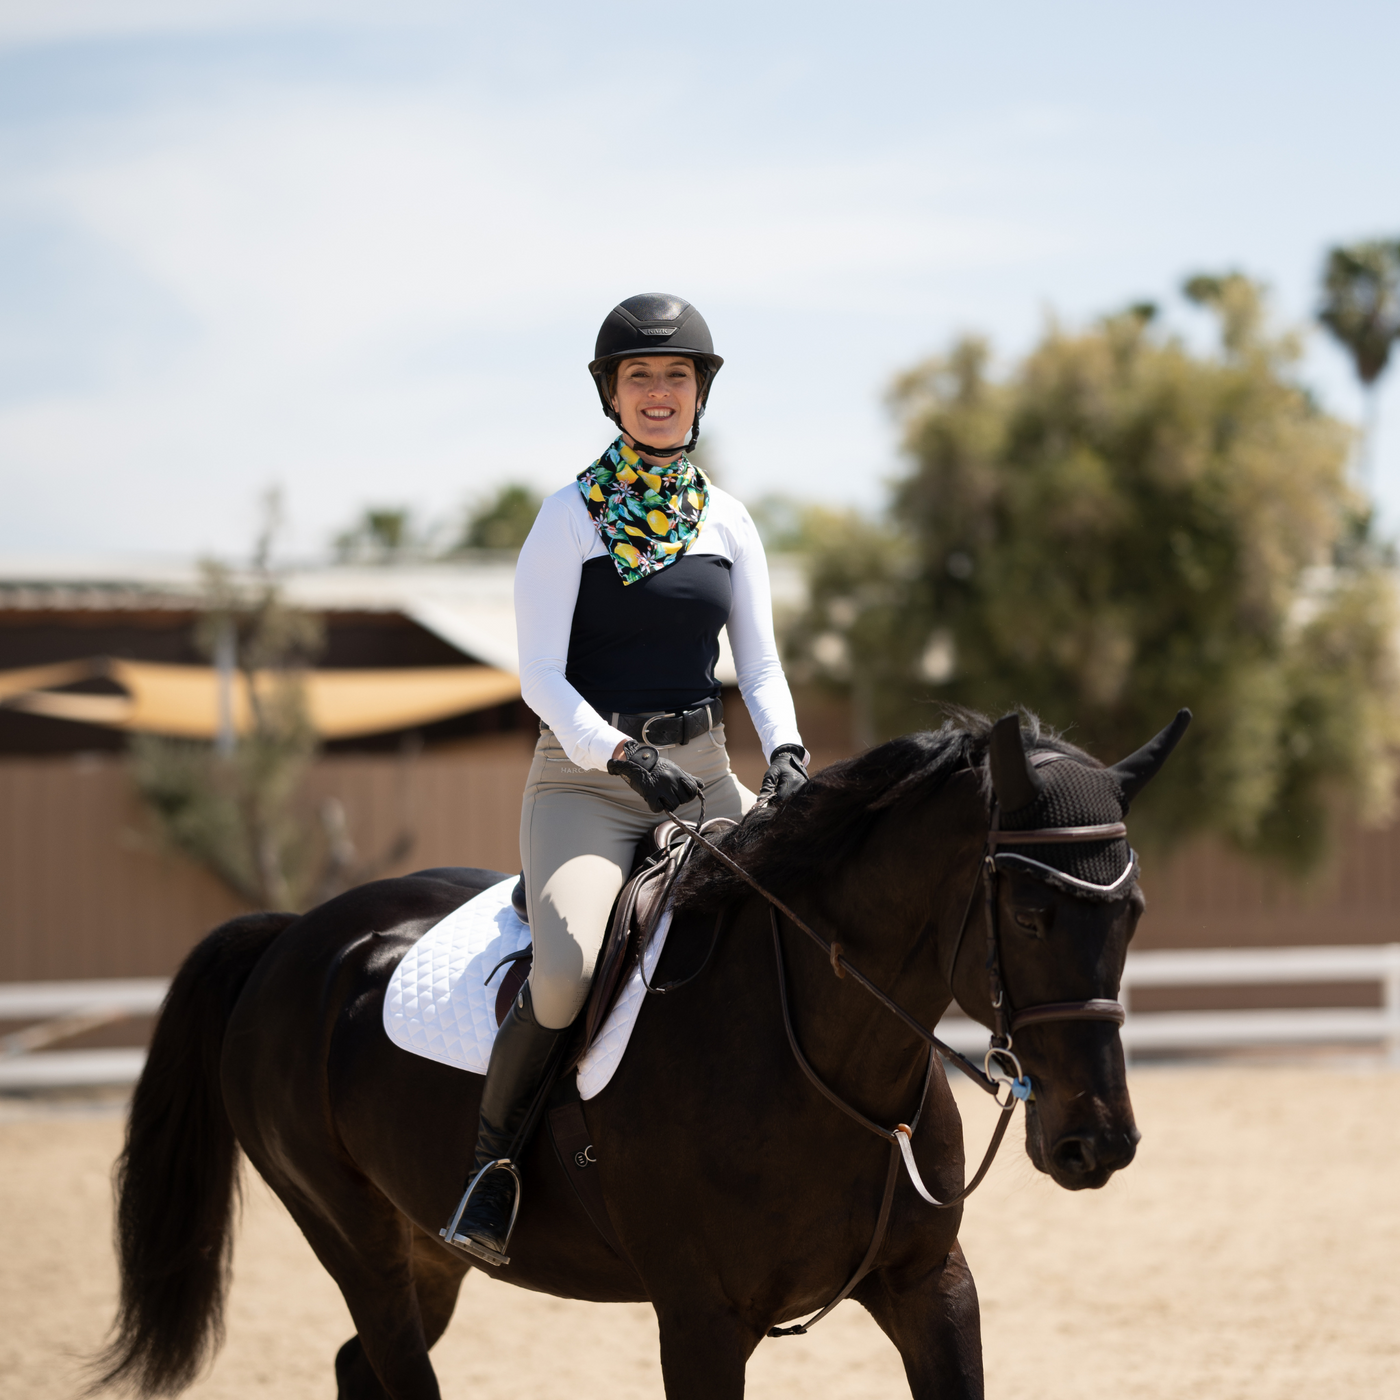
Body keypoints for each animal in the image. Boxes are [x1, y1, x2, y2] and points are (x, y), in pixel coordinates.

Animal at [95, 711, 1181, 1400]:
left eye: (1131, 911)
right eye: (1030, 913)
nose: (1097, 1143)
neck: (824, 1064)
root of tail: (294, 937)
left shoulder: (930, 1286)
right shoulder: (700, 1321)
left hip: (424, 1252)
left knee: (358, 1368)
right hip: (351, 1232)